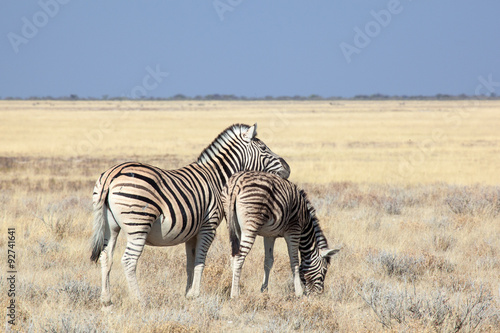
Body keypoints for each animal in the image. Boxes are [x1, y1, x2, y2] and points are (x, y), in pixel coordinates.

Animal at [91, 122, 290, 306]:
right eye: (263, 148)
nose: (288, 168)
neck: (217, 178)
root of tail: (112, 174)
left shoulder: (191, 233)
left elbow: (190, 263)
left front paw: (187, 294)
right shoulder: (208, 227)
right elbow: (200, 261)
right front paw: (195, 294)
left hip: (110, 227)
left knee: (105, 256)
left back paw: (106, 299)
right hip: (138, 224)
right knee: (129, 261)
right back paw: (138, 300)